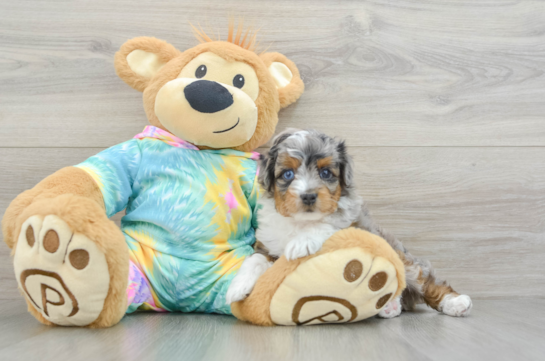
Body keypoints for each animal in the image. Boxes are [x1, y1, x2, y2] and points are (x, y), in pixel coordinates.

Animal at [225, 129, 472, 318]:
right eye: (287, 174)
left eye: (326, 172)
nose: (308, 196)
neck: (300, 222)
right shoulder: (268, 244)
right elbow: (255, 259)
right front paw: (237, 286)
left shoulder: (355, 225)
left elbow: (330, 224)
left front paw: (303, 242)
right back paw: (390, 306)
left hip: (402, 258)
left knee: (424, 280)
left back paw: (455, 303)